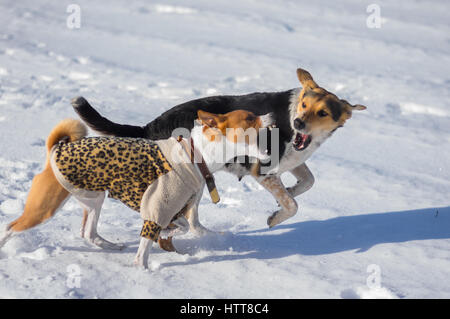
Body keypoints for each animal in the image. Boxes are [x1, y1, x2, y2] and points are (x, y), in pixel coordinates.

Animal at [0, 109, 274, 268]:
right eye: (250, 117)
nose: (272, 116)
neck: (197, 155)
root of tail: (56, 149)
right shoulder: (157, 207)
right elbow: (145, 249)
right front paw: (143, 272)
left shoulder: (177, 211)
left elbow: (186, 227)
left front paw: (172, 235)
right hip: (45, 207)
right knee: (10, 227)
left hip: (94, 199)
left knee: (88, 233)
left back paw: (111, 246)